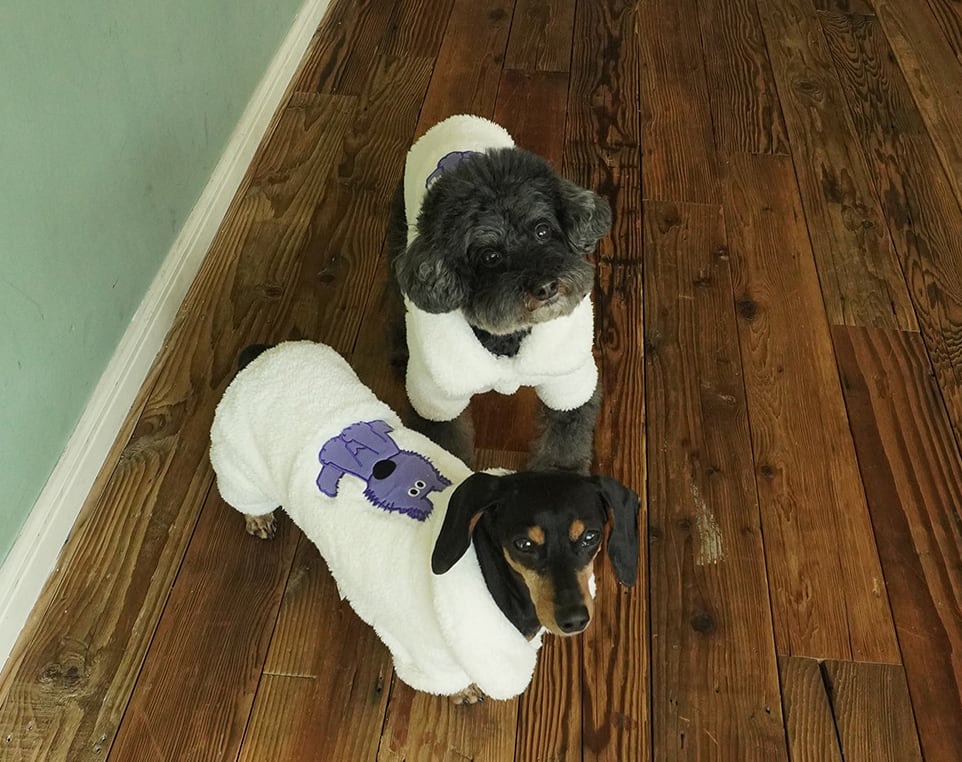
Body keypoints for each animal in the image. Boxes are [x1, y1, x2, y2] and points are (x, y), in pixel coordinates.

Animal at [209, 341, 639, 703]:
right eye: (523, 544)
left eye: (590, 537)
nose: (575, 620)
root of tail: (263, 357)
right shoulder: (428, 653)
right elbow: (447, 676)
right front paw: (464, 691)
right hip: (239, 466)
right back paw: (258, 516)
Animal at [387, 115, 612, 473]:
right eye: (489, 256)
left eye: (542, 230)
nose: (546, 288)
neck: (509, 337)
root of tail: (456, 120)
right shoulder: (438, 398)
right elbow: (445, 442)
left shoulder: (566, 379)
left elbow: (565, 437)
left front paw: (561, 476)